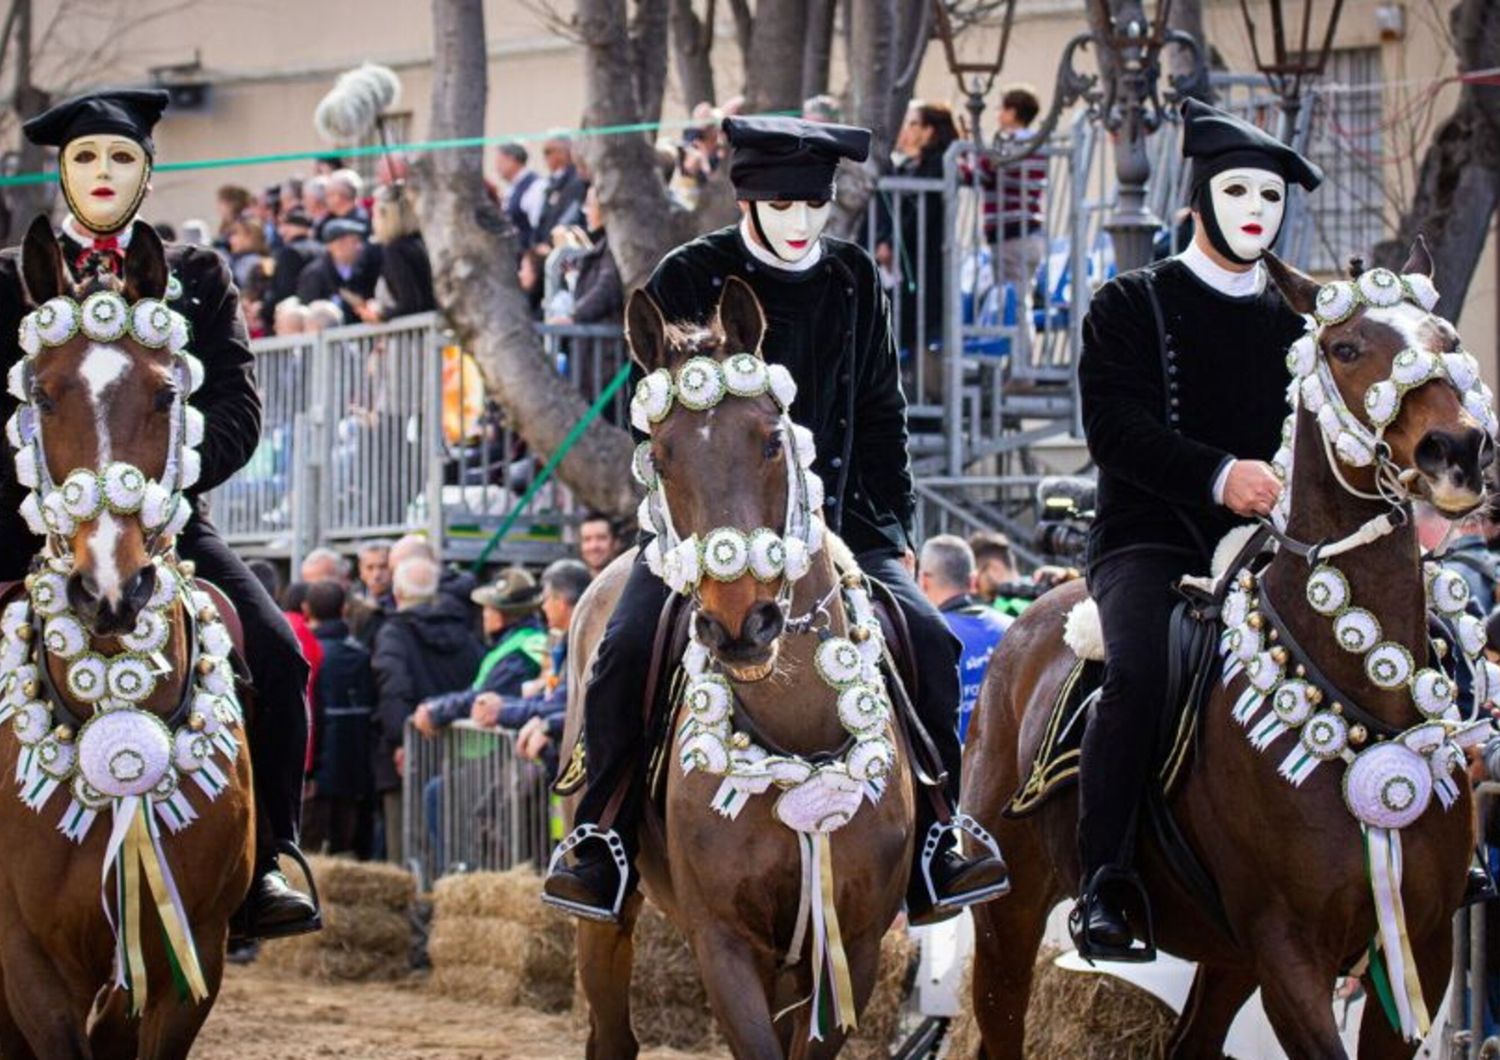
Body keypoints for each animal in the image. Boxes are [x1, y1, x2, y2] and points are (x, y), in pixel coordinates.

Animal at [960, 242, 1488, 1060]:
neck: (1362, 691)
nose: (1455, 450)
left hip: (1225, 955)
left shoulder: (1419, 951)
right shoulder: (1289, 953)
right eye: (1345, 348)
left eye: (1447, 337)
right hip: (1009, 916)